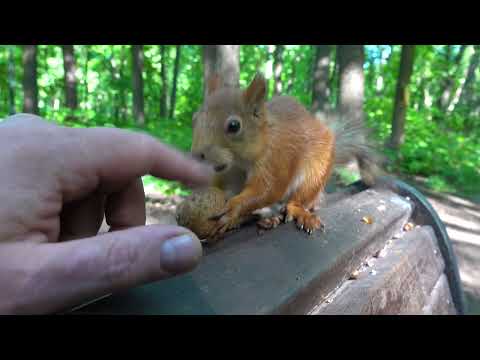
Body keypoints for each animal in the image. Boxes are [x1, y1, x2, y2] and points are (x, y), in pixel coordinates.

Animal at [191, 72, 382, 239]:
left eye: (234, 126)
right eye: (195, 118)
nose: (196, 155)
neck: (240, 161)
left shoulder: (277, 158)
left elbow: (268, 190)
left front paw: (233, 208)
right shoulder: (229, 175)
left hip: (314, 175)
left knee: (300, 199)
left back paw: (298, 212)